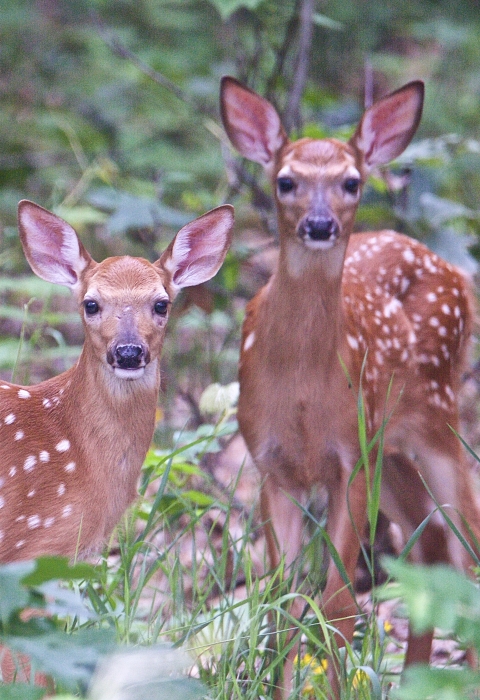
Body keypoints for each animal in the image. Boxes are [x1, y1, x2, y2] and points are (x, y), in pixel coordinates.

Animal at [220, 76, 480, 698]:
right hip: (393, 447)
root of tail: (454, 271)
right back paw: (413, 680)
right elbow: (283, 601)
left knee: (468, 548)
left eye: (351, 182)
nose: (319, 225)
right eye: (286, 180)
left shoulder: (351, 458)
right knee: (432, 545)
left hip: (437, 420)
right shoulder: (272, 465)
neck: (302, 390)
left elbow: (337, 605)